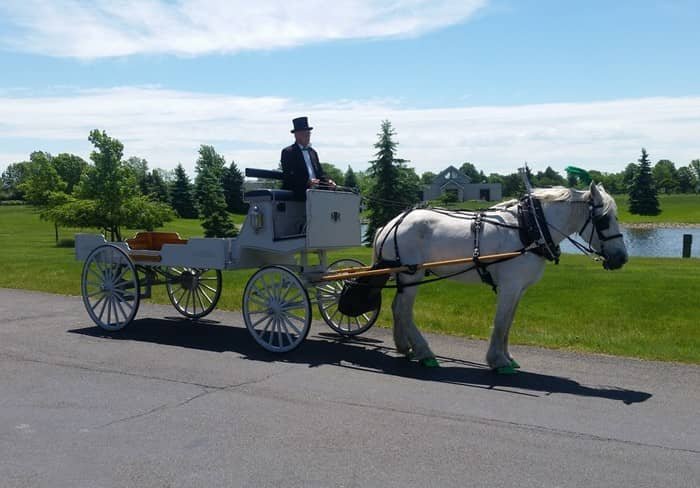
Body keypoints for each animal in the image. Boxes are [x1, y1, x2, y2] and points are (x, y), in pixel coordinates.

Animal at [374, 183, 628, 374]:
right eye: (604, 220)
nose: (621, 258)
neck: (530, 228)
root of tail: (390, 224)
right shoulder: (510, 286)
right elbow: (501, 322)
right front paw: (498, 361)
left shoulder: (519, 289)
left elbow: (508, 323)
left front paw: (507, 357)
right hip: (411, 273)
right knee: (404, 310)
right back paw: (424, 352)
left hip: (405, 276)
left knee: (397, 308)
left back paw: (405, 347)